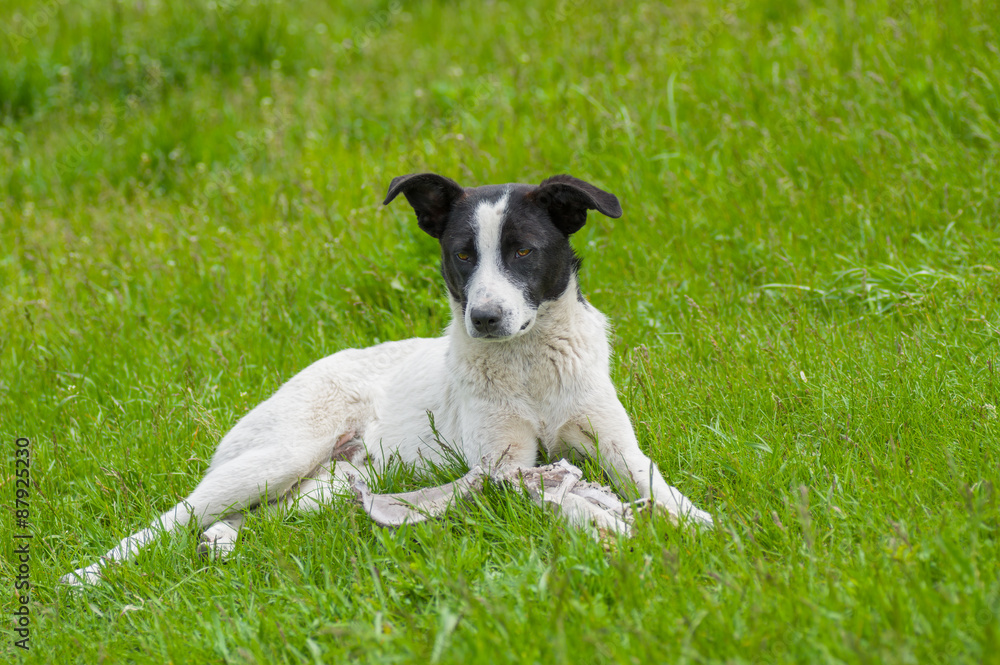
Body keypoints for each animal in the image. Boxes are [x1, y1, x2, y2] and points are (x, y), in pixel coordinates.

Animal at [60, 174, 712, 584]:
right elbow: (562, 495)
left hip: (332, 486)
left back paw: (220, 540)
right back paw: (84, 578)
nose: (484, 319)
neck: (528, 365)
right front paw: (608, 524)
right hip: (281, 455)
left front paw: (697, 523)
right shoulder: (502, 466)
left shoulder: (614, 443)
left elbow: (653, 482)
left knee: (254, 515)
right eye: (462, 256)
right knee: (171, 518)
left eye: (524, 252)